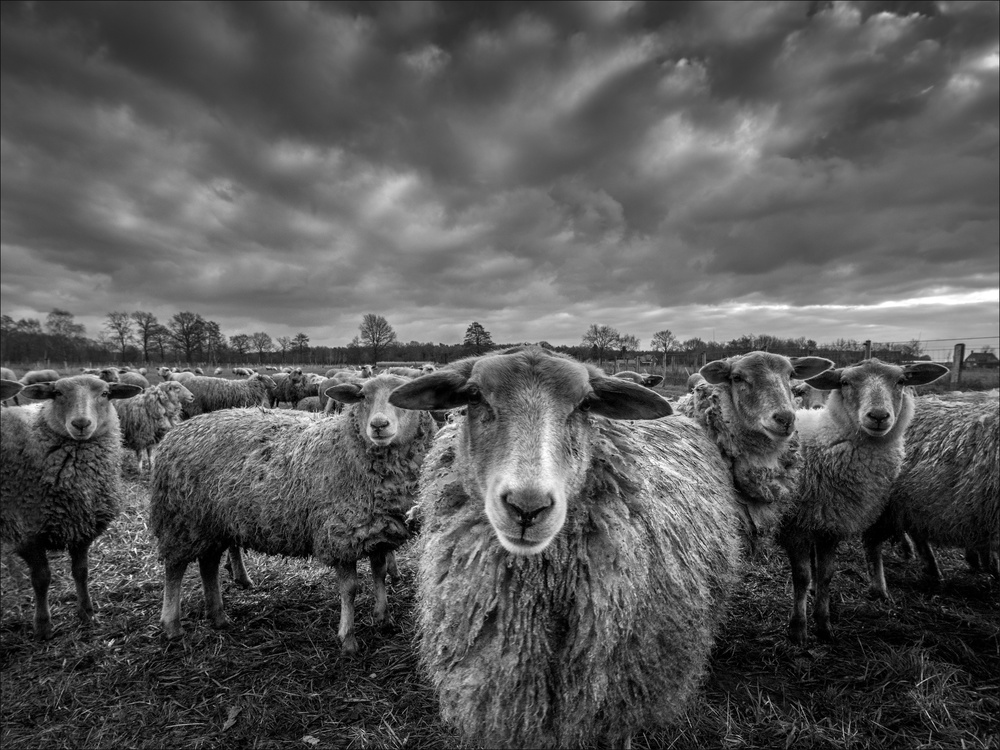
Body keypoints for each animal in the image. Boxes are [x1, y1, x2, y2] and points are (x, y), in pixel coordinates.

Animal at [0, 375, 142, 639]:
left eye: (105, 393)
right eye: (56, 393)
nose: (81, 423)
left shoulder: (82, 525)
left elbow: (81, 572)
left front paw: (87, 613)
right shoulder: (27, 531)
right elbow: (41, 578)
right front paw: (43, 625)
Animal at [150, 374, 438, 653]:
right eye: (362, 396)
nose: (378, 425)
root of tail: (177, 431)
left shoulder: (376, 530)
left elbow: (380, 573)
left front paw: (383, 617)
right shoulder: (339, 534)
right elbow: (350, 589)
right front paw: (348, 639)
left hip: (211, 523)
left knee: (208, 564)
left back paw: (219, 616)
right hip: (181, 519)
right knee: (174, 569)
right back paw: (172, 625)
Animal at [775, 358, 949, 645]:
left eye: (901, 381)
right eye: (845, 382)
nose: (878, 416)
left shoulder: (830, 525)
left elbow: (826, 575)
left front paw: (824, 625)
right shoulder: (796, 528)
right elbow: (801, 577)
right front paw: (798, 629)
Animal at [863, 395, 999, 597]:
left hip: (913, 506)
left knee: (917, 533)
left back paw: (934, 571)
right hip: (886, 506)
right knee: (871, 541)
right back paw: (880, 590)